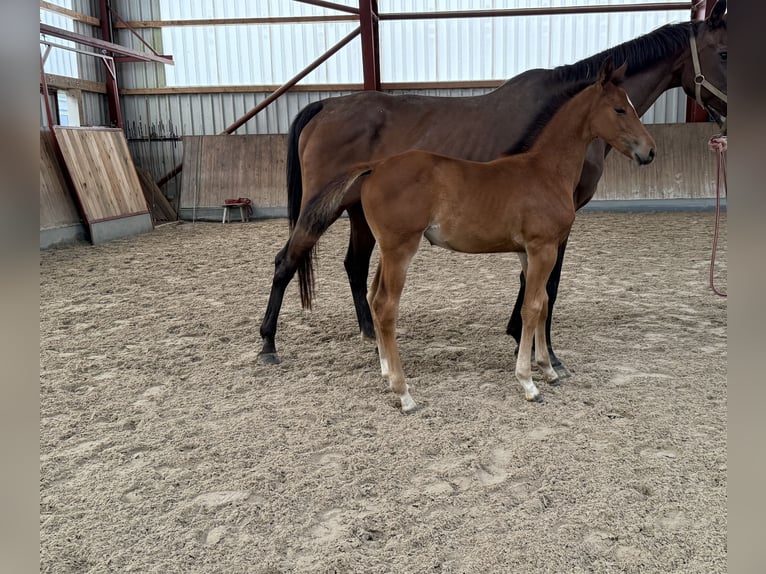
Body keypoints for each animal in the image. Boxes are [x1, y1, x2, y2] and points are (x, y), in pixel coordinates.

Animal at [258, 0, 727, 373]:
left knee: (354, 267)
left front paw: (519, 334)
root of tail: (325, 105)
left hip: (357, 214)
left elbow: (533, 283)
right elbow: (547, 286)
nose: (649, 151)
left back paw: (373, 338)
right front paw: (542, 350)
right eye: (723, 51)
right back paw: (267, 344)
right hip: (320, 210)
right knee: (286, 261)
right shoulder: (555, 226)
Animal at [286, 59, 655, 412]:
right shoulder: (544, 248)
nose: (649, 151)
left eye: (631, 105)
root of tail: (375, 167)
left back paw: (386, 373)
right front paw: (528, 382)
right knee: (385, 307)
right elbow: (533, 306)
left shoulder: (527, 252)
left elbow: (543, 303)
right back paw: (404, 395)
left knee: (375, 297)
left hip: (389, 250)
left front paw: (548, 369)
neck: (545, 171)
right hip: (400, 249)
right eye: (619, 109)